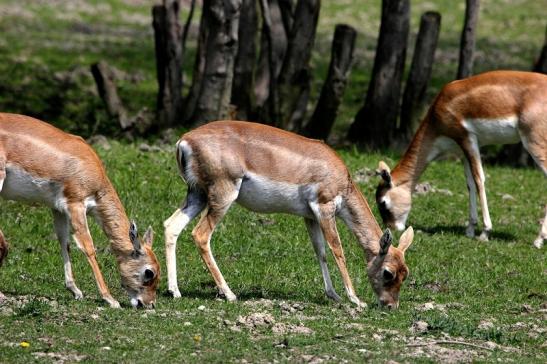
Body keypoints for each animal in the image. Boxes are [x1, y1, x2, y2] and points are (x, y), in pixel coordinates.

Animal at [1, 113, 161, 308]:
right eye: (149, 272)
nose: (149, 304)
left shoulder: (58, 209)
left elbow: (65, 242)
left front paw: (75, 290)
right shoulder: (76, 204)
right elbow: (88, 247)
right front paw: (110, 299)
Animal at [164, 121, 416, 308]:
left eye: (405, 273)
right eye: (388, 273)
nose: (390, 306)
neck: (339, 175)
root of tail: (185, 140)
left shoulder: (310, 216)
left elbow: (320, 252)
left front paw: (333, 295)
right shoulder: (325, 208)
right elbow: (337, 250)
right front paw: (355, 300)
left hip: (197, 196)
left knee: (171, 226)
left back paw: (175, 291)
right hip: (222, 196)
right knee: (200, 235)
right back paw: (229, 294)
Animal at [376, 70, 547, 249]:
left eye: (383, 202)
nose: (391, 228)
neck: (441, 106)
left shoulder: (467, 138)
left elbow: (479, 180)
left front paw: (485, 232)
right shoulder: (463, 150)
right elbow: (470, 183)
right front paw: (470, 229)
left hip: (534, 142)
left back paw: (538, 239)